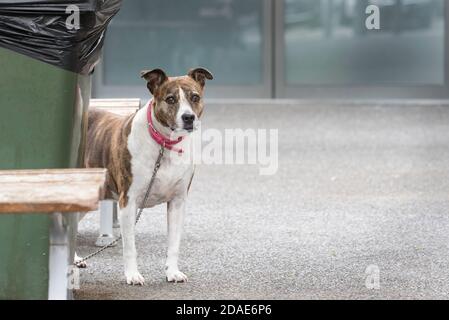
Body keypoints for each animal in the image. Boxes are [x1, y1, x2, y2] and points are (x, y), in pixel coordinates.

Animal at [84, 67, 214, 284]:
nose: (188, 117)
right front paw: (132, 275)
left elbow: (173, 243)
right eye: (170, 99)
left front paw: (172, 272)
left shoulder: (177, 202)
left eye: (194, 97)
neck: (165, 144)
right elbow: (130, 247)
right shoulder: (128, 202)